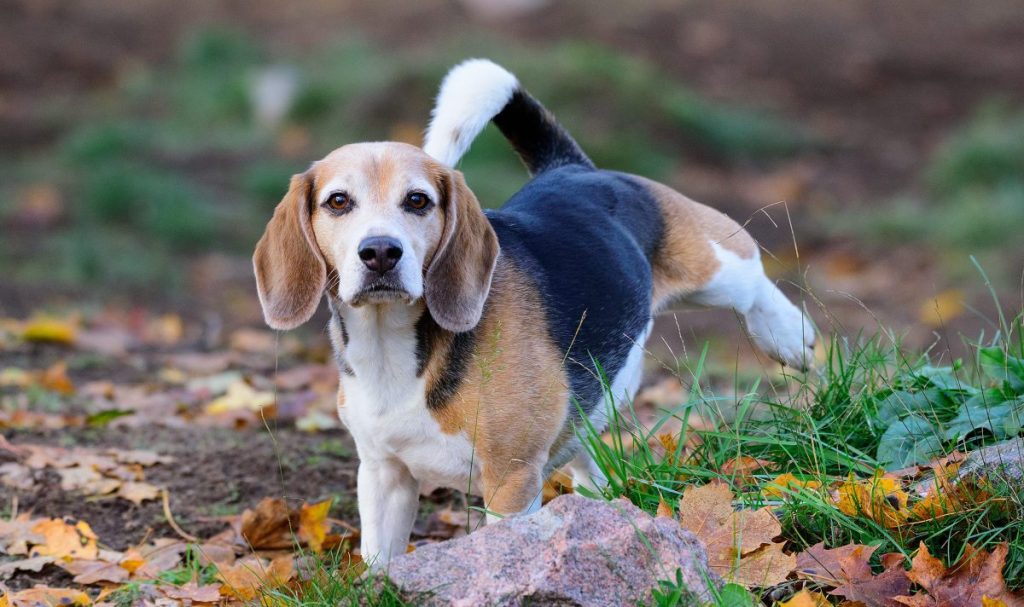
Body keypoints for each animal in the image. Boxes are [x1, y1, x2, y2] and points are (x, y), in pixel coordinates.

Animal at [251, 59, 811, 565]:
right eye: (337, 201)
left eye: (418, 201)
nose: (381, 252)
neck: (393, 344)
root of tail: (573, 170)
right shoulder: (383, 474)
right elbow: (380, 560)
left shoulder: (511, 479)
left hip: (713, 267)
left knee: (752, 275)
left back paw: (789, 335)